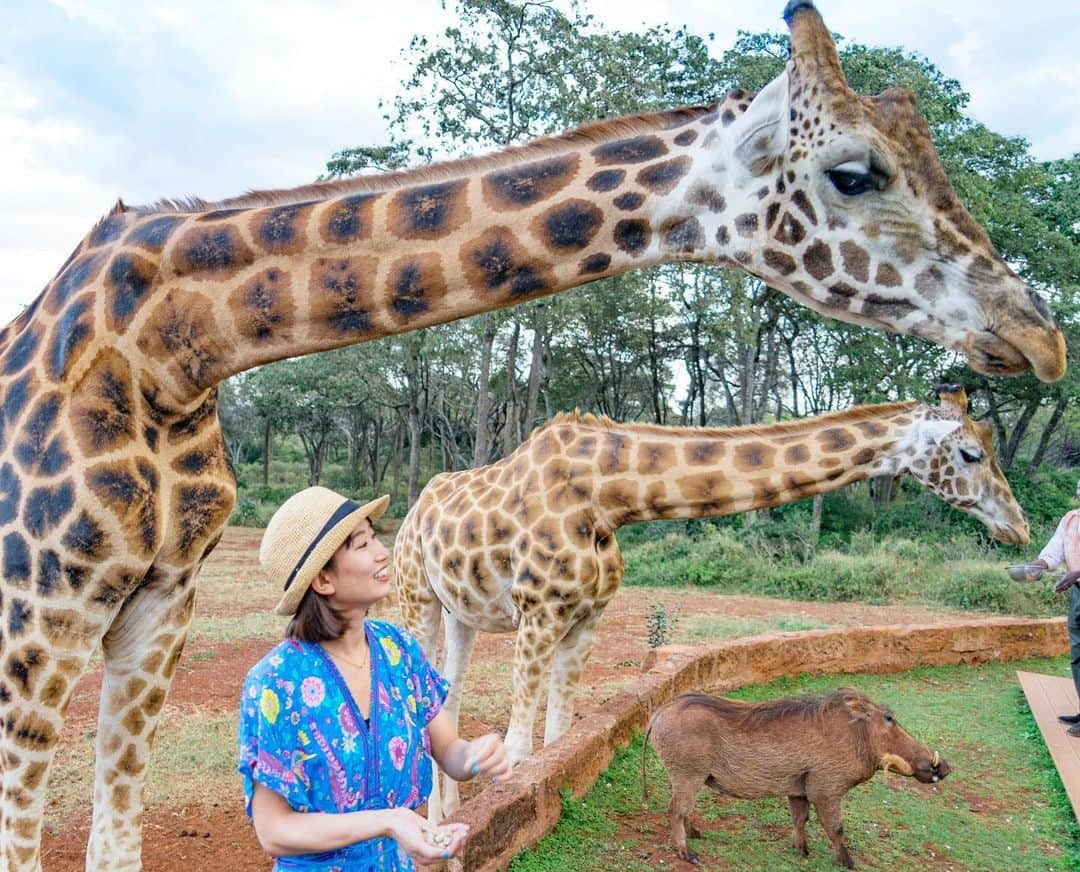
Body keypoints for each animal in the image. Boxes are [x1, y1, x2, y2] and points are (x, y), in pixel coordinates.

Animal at [395, 384, 1028, 816]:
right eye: (971, 454)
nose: (1018, 528)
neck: (608, 495)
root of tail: (413, 510)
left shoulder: (585, 619)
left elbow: (559, 743)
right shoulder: (538, 614)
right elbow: (522, 752)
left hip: (463, 612)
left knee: (448, 700)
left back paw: (447, 815)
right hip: (415, 597)